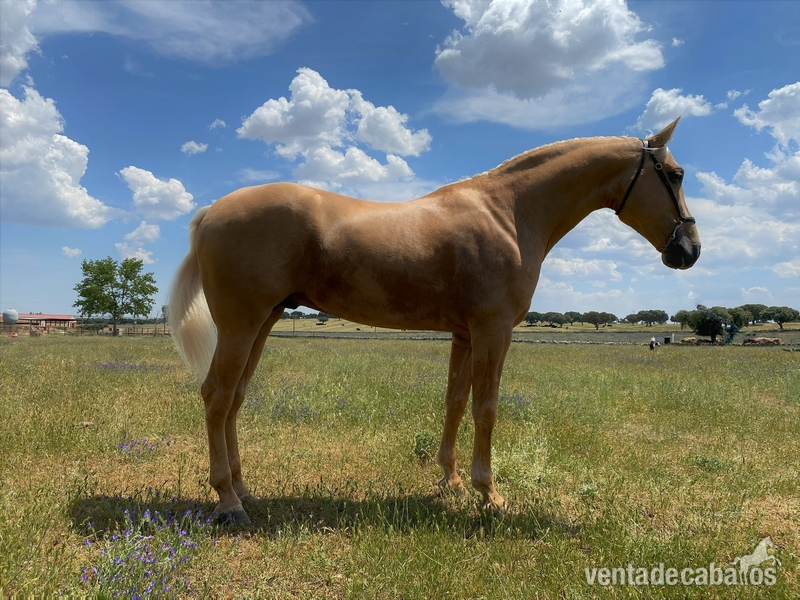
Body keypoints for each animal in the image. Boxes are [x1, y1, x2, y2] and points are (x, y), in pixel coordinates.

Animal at [168, 117, 700, 525]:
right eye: (675, 174)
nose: (689, 251)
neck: (509, 212)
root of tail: (212, 211)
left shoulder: (465, 335)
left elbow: (455, 403)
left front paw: (451, 481)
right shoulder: (493, 331)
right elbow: (486, 408)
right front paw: (490, 495)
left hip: (262, 323)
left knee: (234, 398)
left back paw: (243, 488)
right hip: (240, 325)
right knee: (216, 396)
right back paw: (229, 501)